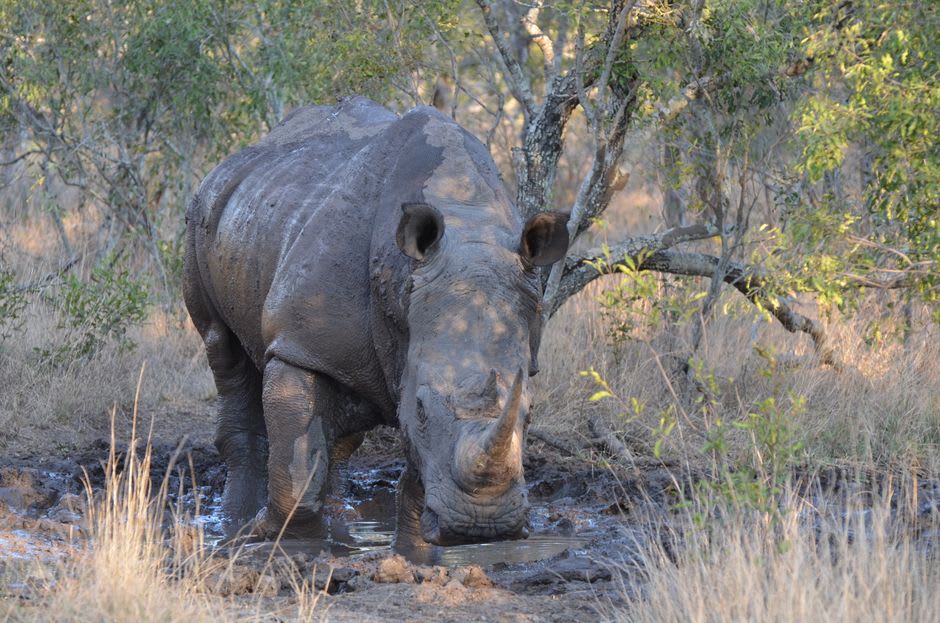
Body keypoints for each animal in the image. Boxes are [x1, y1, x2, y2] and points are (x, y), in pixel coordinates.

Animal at [183, 96, 568, 545]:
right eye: (422, 409)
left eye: (530, 414)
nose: (483, 525)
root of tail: (240, 156)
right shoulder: (299, 343)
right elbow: (299, 468)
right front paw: (271, 535)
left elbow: (418, 473)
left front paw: (415, 547)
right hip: (203, 213)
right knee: (221, 346)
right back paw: (235, 526)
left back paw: (338, 520)